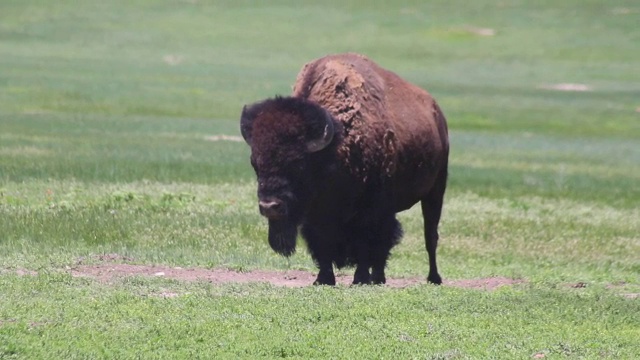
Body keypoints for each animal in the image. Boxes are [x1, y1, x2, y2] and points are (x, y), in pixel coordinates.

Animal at [240, 53, 450, 286]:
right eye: (255, 163)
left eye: (298, 164)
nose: (270, 206)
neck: (332, 150)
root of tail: (437, 114)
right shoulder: (317, 214)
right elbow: (322, 242)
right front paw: (323, 279)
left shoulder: (370, 208)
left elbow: (366, 241)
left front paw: (360, 278)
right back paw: (379, 277)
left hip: (435, 191)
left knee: (429, 235)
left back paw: (433, 278)